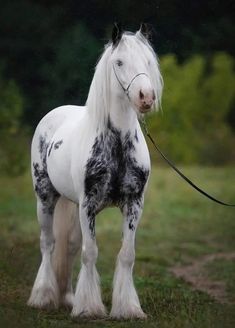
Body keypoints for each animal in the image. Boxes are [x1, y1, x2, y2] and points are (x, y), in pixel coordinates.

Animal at [28, 23, 162, 320]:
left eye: (148, 61)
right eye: (119, 62)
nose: (146, 97)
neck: (117, 146)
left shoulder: (134, 205)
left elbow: (127, 255)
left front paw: (128, 308)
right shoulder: (88, 205)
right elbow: (90, 253)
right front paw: (89, 308)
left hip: (72, 205)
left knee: (69, 246)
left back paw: (67, 297)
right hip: (45, 198)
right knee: (48, 244)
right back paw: (42, 297)